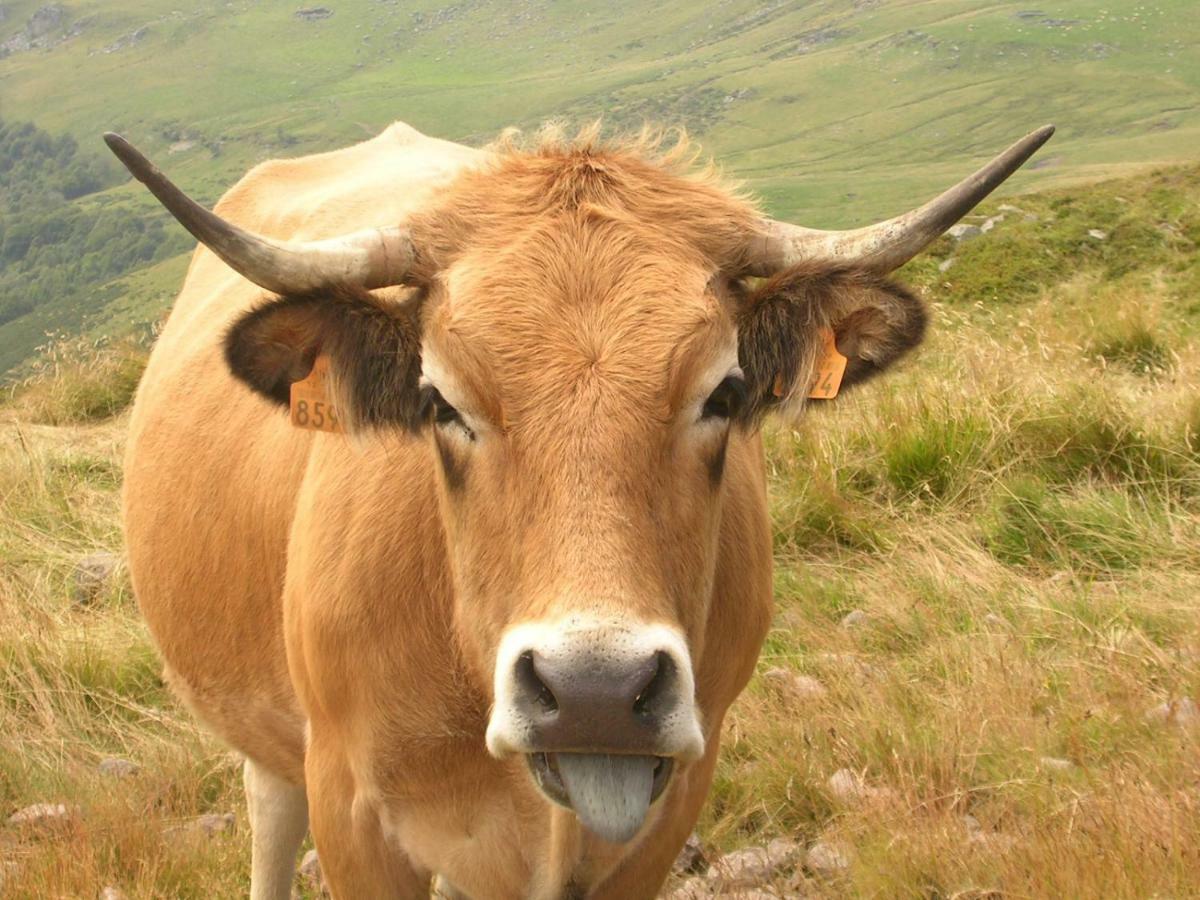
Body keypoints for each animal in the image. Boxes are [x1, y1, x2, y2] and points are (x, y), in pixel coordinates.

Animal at [110, 121, 1051, 900]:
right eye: (440, 401)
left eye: (725, 392)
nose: (593, 690)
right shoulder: (351, 810)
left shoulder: (670, 803)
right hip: (270, 744)